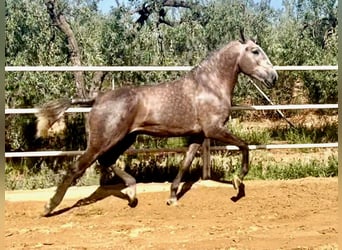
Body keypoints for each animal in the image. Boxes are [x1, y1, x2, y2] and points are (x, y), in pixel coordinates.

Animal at [36, 37, 278, 217]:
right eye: (255, 51)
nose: (273, 77)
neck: (209, 86)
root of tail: (98, 98)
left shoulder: (198, 136)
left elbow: (185, 164)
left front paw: (172, 198)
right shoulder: (214, 129)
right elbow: (244, 146)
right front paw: (238, 183)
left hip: (125, 138)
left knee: (107, 162)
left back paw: (132, 194)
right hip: (103, 141)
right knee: (78, 167)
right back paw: (49, 207)